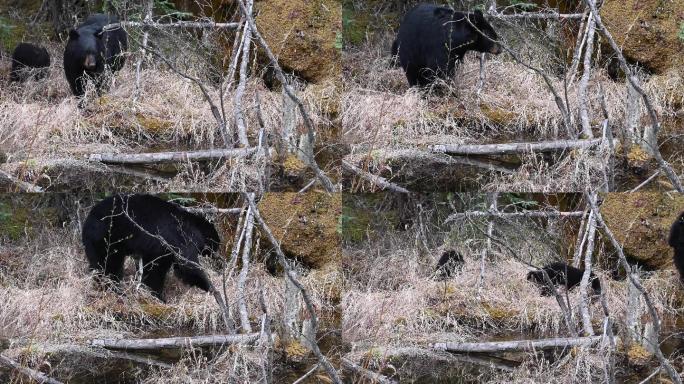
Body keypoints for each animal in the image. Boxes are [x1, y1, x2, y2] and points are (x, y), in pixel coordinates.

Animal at [82, 195, 222, 300]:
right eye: (215, 244)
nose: (217, 255)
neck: (195, 227)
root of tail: (87, 222)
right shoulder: (180, 238)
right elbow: (187, 266)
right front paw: (211, 288)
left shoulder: (161, 250)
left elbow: (155, 268)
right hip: (106, 237)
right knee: (109, 264)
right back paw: (113, 289)